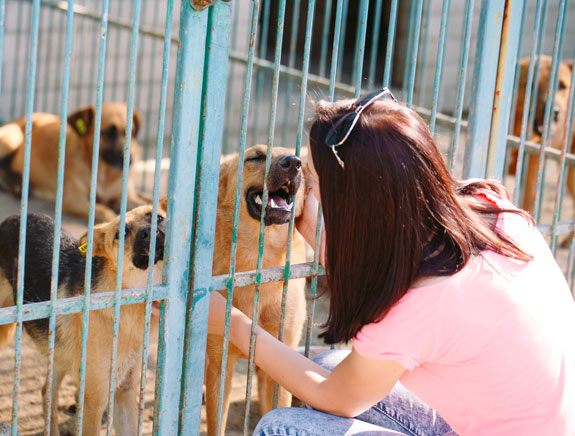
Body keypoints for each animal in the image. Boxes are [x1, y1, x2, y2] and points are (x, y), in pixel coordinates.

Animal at [0, 102, 151, 223]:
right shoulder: (74, 199)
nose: (130, 161)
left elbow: (143, 205)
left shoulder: (126, 197)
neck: (105, 175)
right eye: (107, 132)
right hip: (12, 139)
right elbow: (104, 211)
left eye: (131, 132)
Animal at [0, 198, 169, 436]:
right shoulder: (94, 402)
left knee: (46, 392)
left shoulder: (124, 395)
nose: (148, 232)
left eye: (158, 217)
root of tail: (13, 218)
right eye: (121, 233)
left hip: (59, 352)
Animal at [205, 145, 308, 436]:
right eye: (256, 157)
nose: (293, 163)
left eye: (297, 158)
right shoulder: (219, 366)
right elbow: (216, 423)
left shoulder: (279, 368)